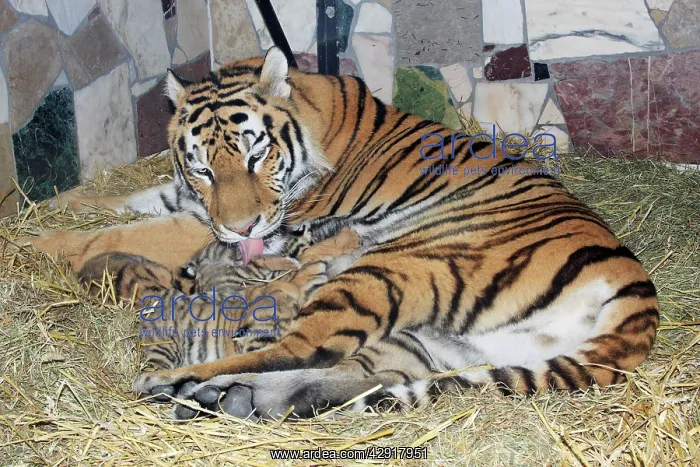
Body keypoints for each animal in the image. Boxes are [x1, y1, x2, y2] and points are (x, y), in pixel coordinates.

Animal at [18, 47, 660, 420]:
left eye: (255, 155)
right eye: (202, 166)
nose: (240, 227)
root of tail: (639, 304)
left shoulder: (232, 225)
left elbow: (125, 232)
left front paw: (36, 244)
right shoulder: (189, 198)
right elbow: (120, 203)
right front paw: (52, 205)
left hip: (399, 266)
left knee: (300, 347)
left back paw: (175, 382)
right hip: (442, 340)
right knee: (352, 370)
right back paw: (244, 399)